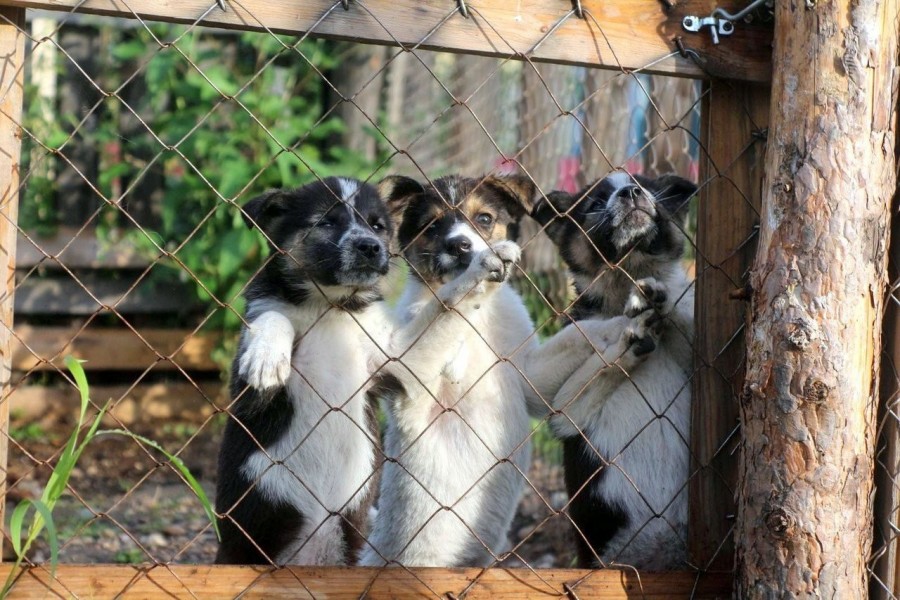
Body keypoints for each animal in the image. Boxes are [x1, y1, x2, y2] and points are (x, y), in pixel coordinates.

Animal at [216, 177, 396, 568]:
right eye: (326, 222)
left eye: (377, 226)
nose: (370, 247)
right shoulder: (246, 392)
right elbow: (274, 316)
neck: (329, 305)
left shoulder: (387, 358)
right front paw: (267, 358)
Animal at [532, 170, 700, 572]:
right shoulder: (564, 413)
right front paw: (628, 342)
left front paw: (657, 297)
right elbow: (605, 363)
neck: (626, 278)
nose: (631, 192)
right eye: (594, 203)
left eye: (648, 187)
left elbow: (675, 306)